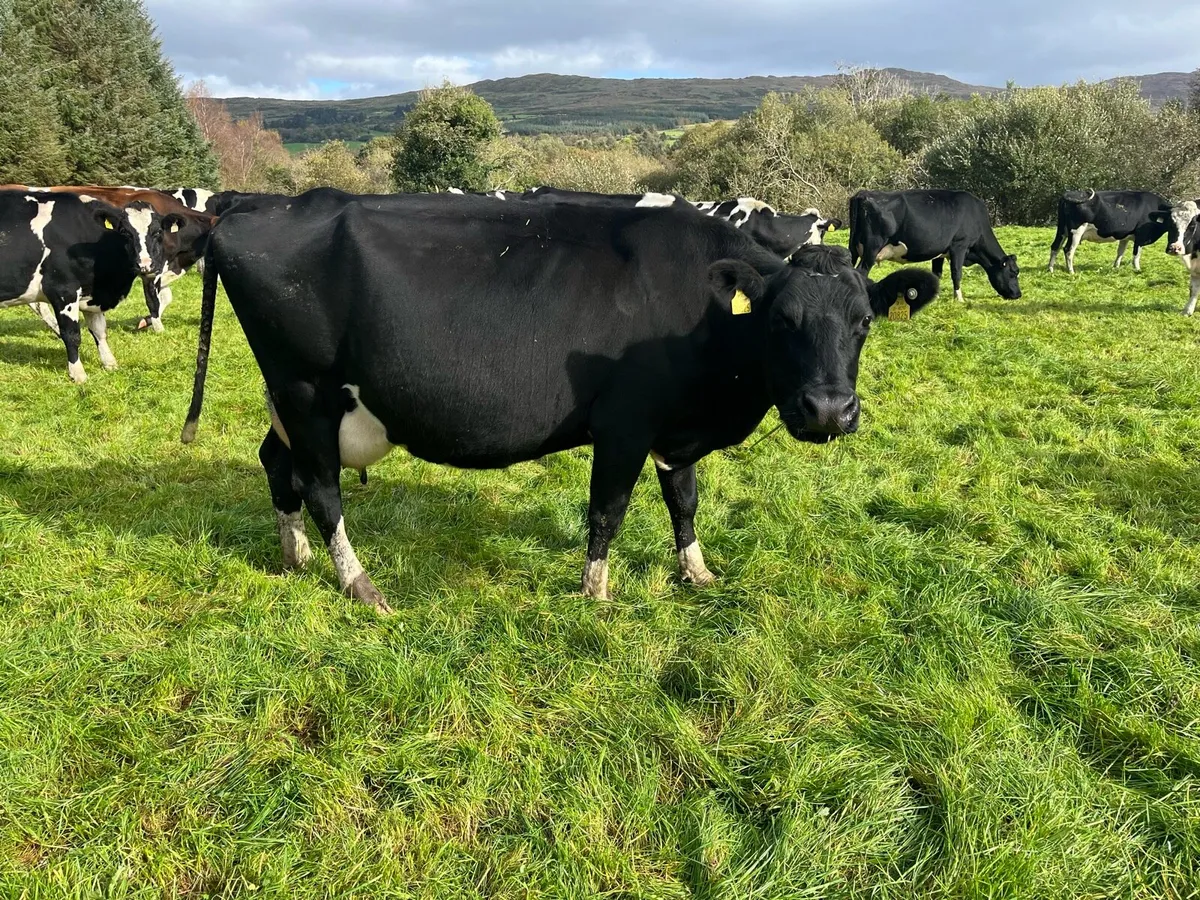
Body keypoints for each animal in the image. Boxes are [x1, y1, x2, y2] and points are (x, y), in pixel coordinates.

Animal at [1, 190, 144, 382]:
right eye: (125, 232)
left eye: (158, 233)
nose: (145, 264)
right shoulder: (63, 291)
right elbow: (71, 335)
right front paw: (78, 374)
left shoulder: (90, 295)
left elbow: (99, 331)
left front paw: (109, 363)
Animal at [178, 191, 940, 613]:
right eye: (781, 321)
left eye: (863, 324)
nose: (828, 411)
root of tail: (250, 208)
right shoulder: (625, 423)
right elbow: (608, 510)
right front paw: (595, 591)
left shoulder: (678, 429)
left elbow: (685, 502)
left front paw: (696, 572)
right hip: (306, 391)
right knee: (321, 486)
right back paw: (359, 584)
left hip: (292, 403)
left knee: (277, 466)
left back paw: (296, 556)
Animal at [849, 189, 1021, 301]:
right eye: (1013, 273)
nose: (1018, 294)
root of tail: (863, 194)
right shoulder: (959, 246)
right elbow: (956, 273)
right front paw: (959, 299)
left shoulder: (939, 252)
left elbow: (936, 273)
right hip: (872, 248)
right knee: (861, 271)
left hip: (853, 249)